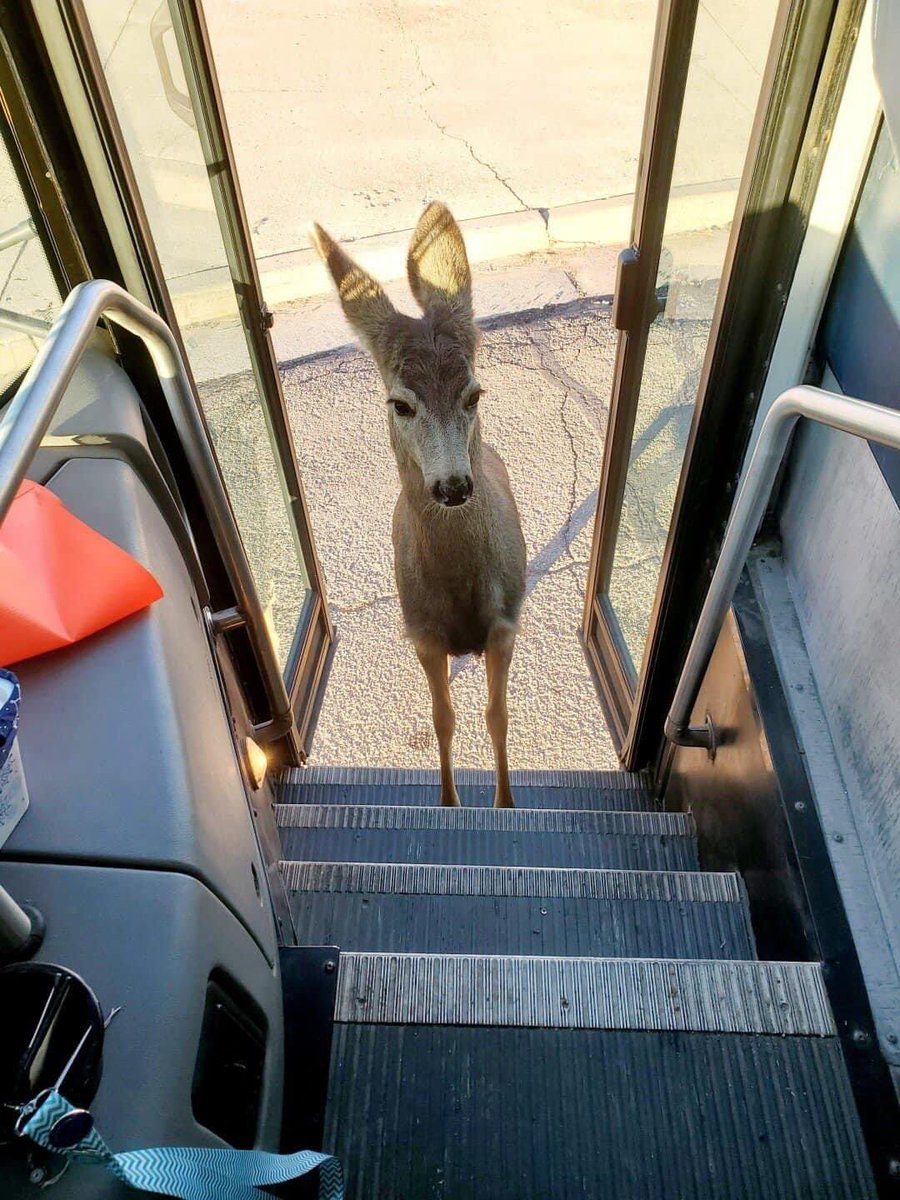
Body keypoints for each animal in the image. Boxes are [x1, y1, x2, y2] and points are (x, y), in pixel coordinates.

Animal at [311, 203, 527, 808]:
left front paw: (503, 802)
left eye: (474, 394)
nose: (453, 487)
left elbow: (497, 716)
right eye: (400, 403)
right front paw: (448, 801)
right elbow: (442, 720)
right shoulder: (423, 632)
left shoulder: (505, 623)